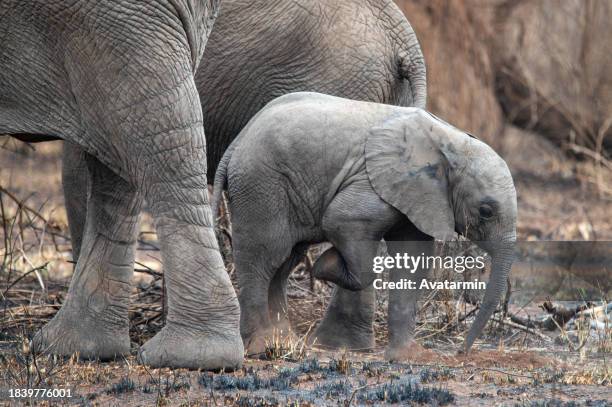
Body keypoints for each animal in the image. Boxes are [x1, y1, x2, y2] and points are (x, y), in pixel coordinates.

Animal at [213, 91, 512, 356]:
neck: (453, 143)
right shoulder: (374, 181)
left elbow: (414, 258)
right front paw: (327, 264)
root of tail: (235, 144)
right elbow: (341, 219)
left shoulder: (419, 195)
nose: (461, 352)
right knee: (264, 258)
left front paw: (408, 355)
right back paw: (262, 348)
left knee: (285, 261)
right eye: (486, 211)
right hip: (260, 186)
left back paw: (284, 343)